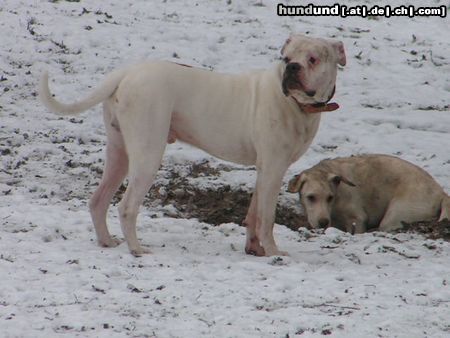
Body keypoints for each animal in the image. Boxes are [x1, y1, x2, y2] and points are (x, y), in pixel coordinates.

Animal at [288, 154, 450, 234]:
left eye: (330, 198)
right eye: (311, 197)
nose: (323, 222)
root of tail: (441, 193)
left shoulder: (358, 220)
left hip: (394, 216)